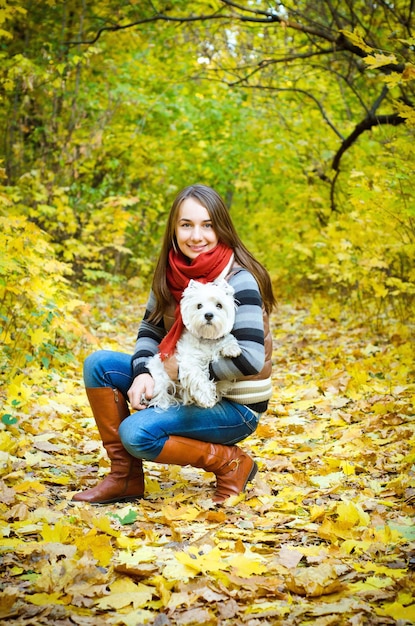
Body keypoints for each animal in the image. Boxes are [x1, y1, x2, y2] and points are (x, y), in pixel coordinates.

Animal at [148, 280, 242, 410]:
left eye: (219, 305)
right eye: (199, 306)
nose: (208, 315)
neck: (207, 338)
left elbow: (226, 338)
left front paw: (231, 349)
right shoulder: (189, 361)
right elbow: (198, 376)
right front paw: (207, 398)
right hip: (161, 379)